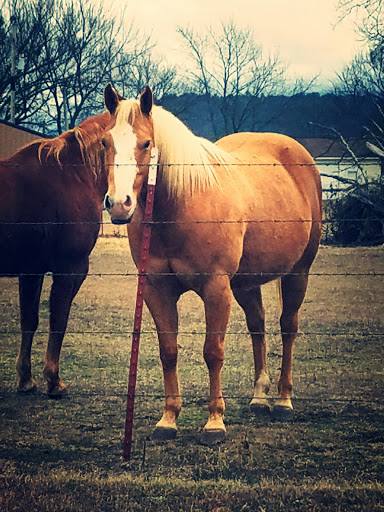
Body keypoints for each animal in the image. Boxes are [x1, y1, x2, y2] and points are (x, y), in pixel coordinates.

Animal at [0, 113, 111, 396]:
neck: (74, 173)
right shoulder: (70, 268)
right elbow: (58, 320)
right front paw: (54, 381)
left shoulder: (31, 270)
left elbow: (29, 320)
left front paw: (26, 380)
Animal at [103, 84, 322, 444]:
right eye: (106, 143)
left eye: (146, 144)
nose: (120, 204)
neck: (182, 203)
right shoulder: (157, 290)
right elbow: (168, 350)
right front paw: (168, 420)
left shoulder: (216, 288)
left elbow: (213, 352)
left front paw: (215, 422)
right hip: (246, 282)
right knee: (258, 325)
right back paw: (260, 398)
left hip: (297, 273)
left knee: (288, 327)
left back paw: (283, 401)